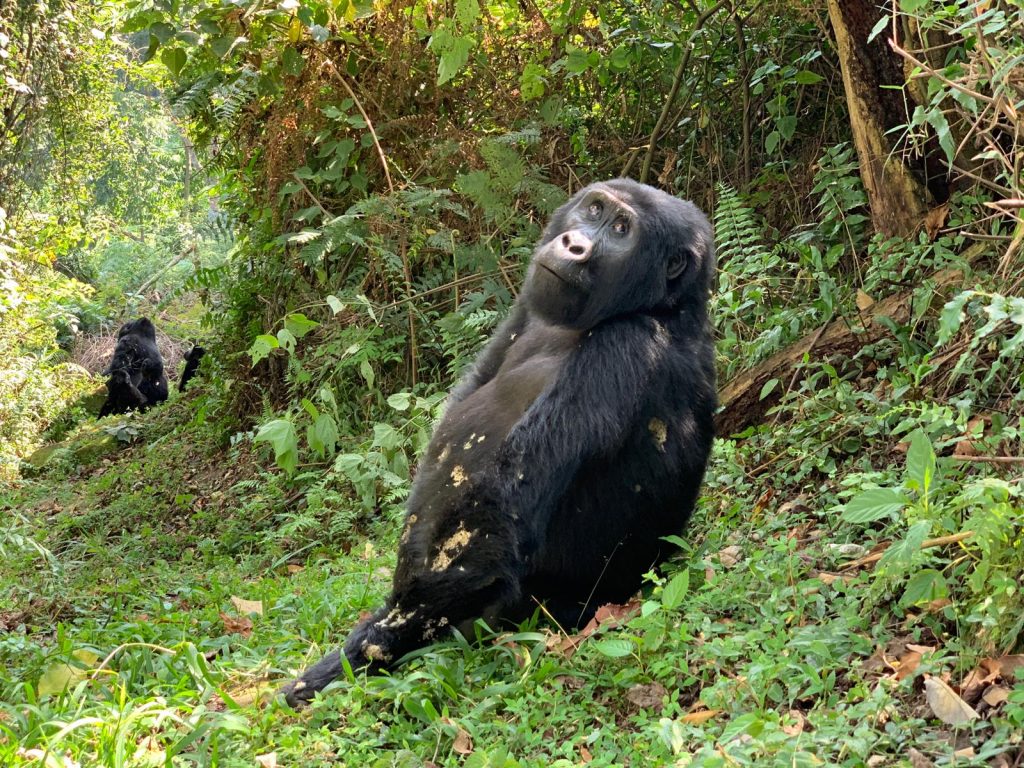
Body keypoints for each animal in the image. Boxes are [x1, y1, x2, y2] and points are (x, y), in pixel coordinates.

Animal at [280, 177, 712, 708]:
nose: (574, 244)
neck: (661, 305)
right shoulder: (526, 307)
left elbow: (496, 510)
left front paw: (366, 650)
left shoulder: (628, 348)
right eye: (594, 210)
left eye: (621, 230)